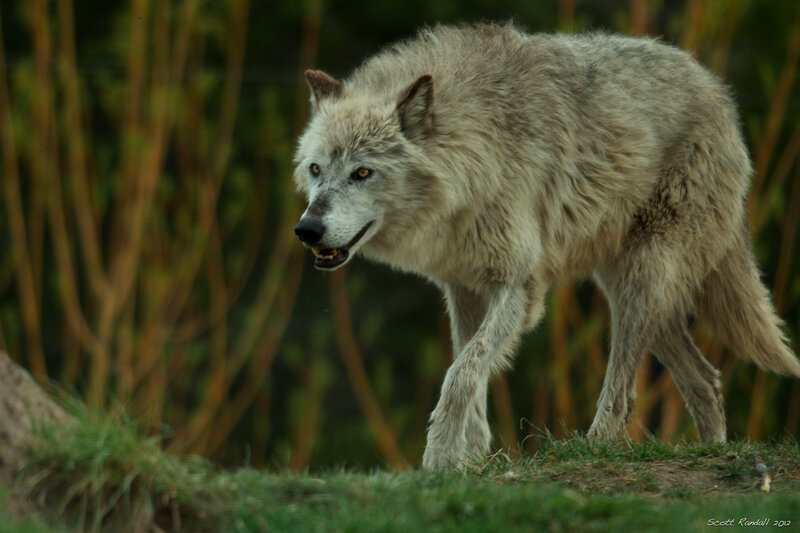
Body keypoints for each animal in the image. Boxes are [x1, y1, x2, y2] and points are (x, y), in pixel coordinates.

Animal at [292, 23, 800, 470]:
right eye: (316, 169)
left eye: (362, 172)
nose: (307, 230)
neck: (477, 153)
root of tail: (718, 90)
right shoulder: (463, 288)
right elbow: (471, 372)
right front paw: (470, 461)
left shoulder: (520, 288)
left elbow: (460, 373)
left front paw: (439, 458)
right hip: (639, 296)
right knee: (706, 381)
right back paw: (710, 451)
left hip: (640, 285)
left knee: (625, 391)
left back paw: (595, 449)